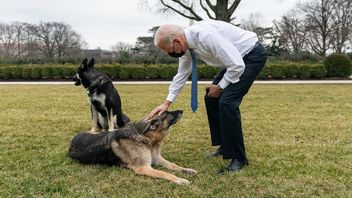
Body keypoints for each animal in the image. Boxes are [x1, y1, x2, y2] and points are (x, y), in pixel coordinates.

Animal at [67, 110, 197, 185]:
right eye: (168, 114)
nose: (182, 110)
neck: (146, 137)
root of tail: (72, 141)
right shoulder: (144, 168)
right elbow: (165, 173)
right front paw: (179, 180)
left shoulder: (157, 159)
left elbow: (174, 165)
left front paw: (187, 170)